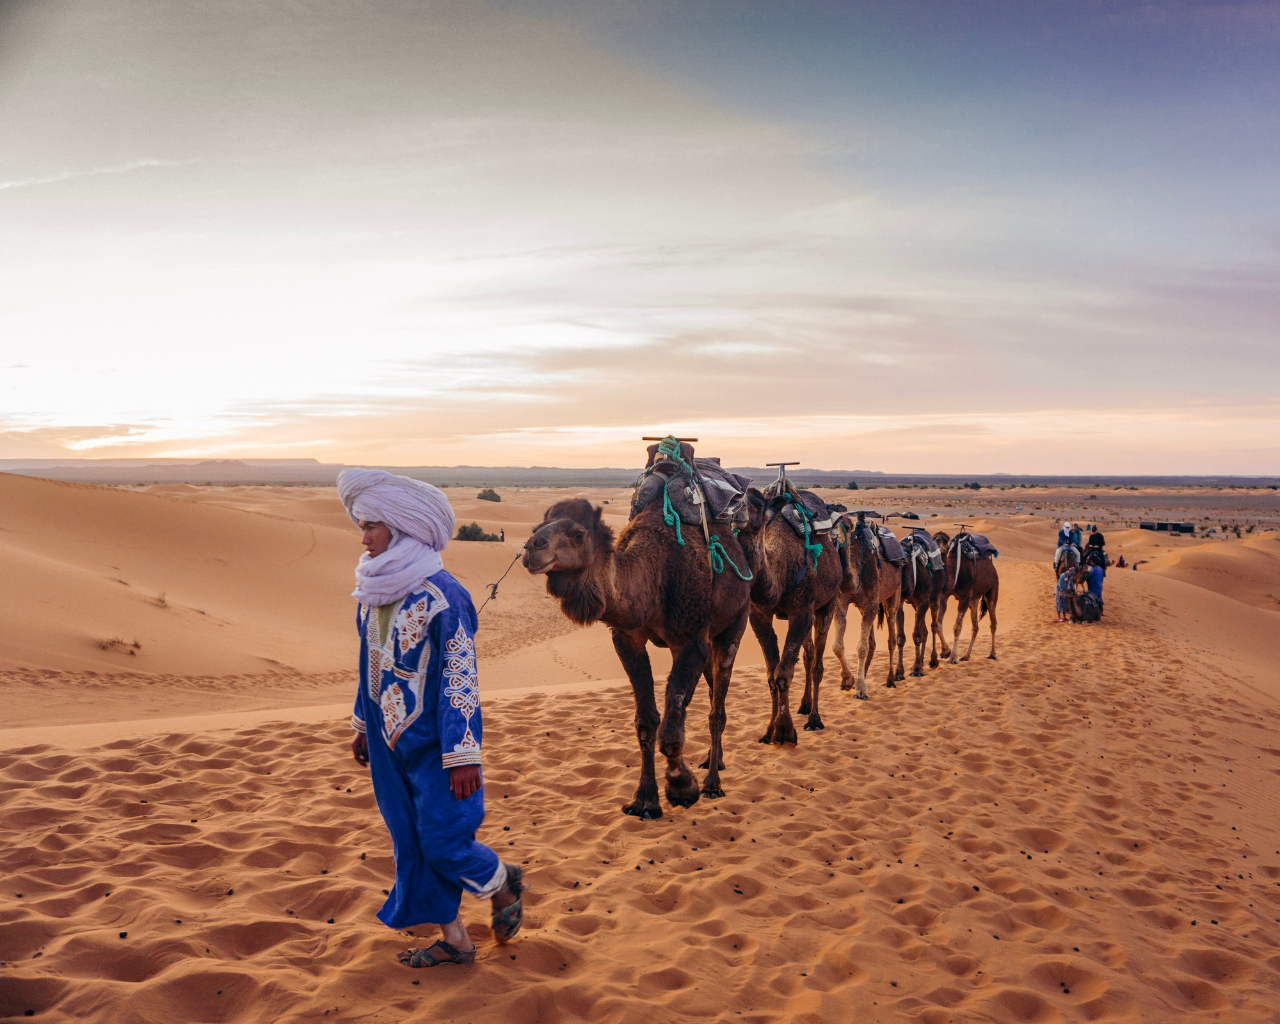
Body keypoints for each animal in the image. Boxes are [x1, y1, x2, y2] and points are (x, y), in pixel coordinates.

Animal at [524, 496, 752, 814]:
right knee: (713, 693)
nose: (532, 547)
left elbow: (672, 724)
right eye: (537, 527)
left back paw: (712, 784)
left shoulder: (691, 640)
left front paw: (682, 787)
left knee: (717, 706)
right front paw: (644, 800)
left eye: (578, 533)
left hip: (736, 620)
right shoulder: (627, 638)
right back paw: (713, 760)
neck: (654, 575)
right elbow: (646, 722)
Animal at [747, 488, 844, 742]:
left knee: (817, 662)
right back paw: (805, 705)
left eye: (758, 506)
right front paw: (769, 731)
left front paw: (784, 731)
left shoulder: (801, 611)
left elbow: (782, 673)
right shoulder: (758, 615)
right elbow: (771, 674)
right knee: (809, 655)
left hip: (827, 603)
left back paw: (814, 719)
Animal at [824, 517, 906, 701]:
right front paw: (848, 680)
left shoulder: (872, 604)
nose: (832, 534)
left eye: (847, 526)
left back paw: (891, 679)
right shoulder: (841, 603)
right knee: (873, 643)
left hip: (894, 593)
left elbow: (862, 648)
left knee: (891, 637)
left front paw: (861, 690)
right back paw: (865, 676)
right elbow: (837, 645)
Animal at [931, 532, 998, 665]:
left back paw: (992, 654)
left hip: (992, 589)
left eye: (945, 540)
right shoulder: (944, 596)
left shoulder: (965, 597)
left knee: (993, 622)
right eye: (933, 537)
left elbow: (957, 627)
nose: (937, 541)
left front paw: (953, 657)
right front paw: (945, 651)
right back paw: (966, 656)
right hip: (974, 599)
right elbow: (938, 624)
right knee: (975, 626)